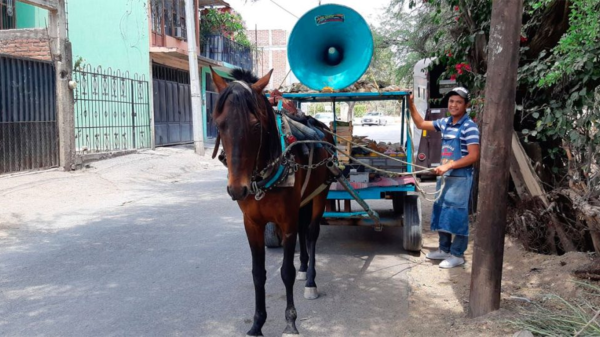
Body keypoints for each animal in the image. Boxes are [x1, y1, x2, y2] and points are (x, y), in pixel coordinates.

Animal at [210, 67, 332, 334]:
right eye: (219, 124)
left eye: (256, 126)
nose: (237, 189)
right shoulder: (252, 223)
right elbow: (258, 273)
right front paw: (257, 324)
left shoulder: (286, 220)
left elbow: (286, 272)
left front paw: (290, 322)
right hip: (303, 202)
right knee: (303, 230)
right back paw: (305, 266)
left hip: (321, 194)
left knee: (311, 232)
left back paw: (310, 280)